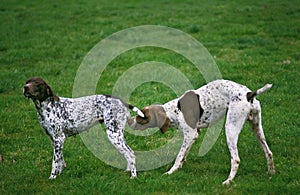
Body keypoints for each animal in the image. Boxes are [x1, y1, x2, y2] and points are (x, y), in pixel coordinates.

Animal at [129, 79, 274, 184]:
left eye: (142, 117)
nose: (129, 121)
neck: (175, 110)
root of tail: (249, 94)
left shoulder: (190, 135)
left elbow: (179, 156)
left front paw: (171, 172)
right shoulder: (195, 135)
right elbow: (184, 154)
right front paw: (180, 167)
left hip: (230, 129)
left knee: (236, 159)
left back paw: (228, 181)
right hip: (256, 128)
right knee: (269, 152)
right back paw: (271, 173)